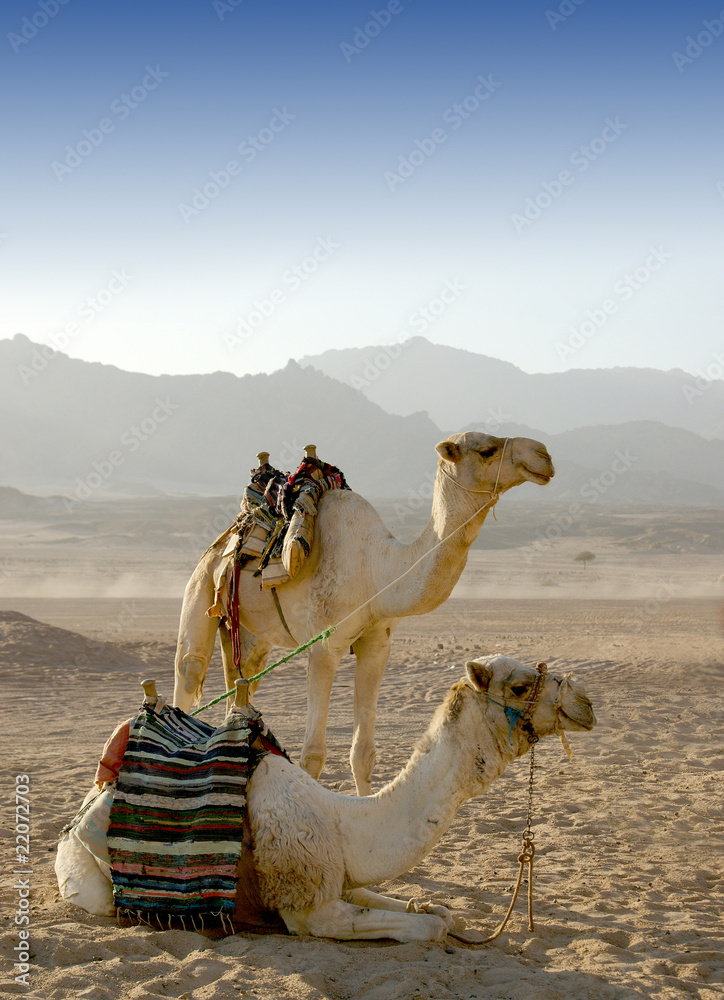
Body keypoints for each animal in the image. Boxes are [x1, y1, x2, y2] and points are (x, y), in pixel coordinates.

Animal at [56, 655, 595, 942]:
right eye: (520, 685)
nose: (585, 703)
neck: (344, 820)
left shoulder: (341, 875)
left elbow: (437, 912)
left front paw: (427, 906)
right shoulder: (309, 904)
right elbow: (430, 928)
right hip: (85, 877)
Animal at [174, 432, 555, 794]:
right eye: (487, 450)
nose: (544, 456)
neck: (377, 570)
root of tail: (228, 536)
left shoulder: (377, 645)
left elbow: (364, 753)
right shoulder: (323, 647)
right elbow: (313, 756)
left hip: (249, 634)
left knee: (244, 678)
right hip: (202, 586)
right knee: (189, 671)